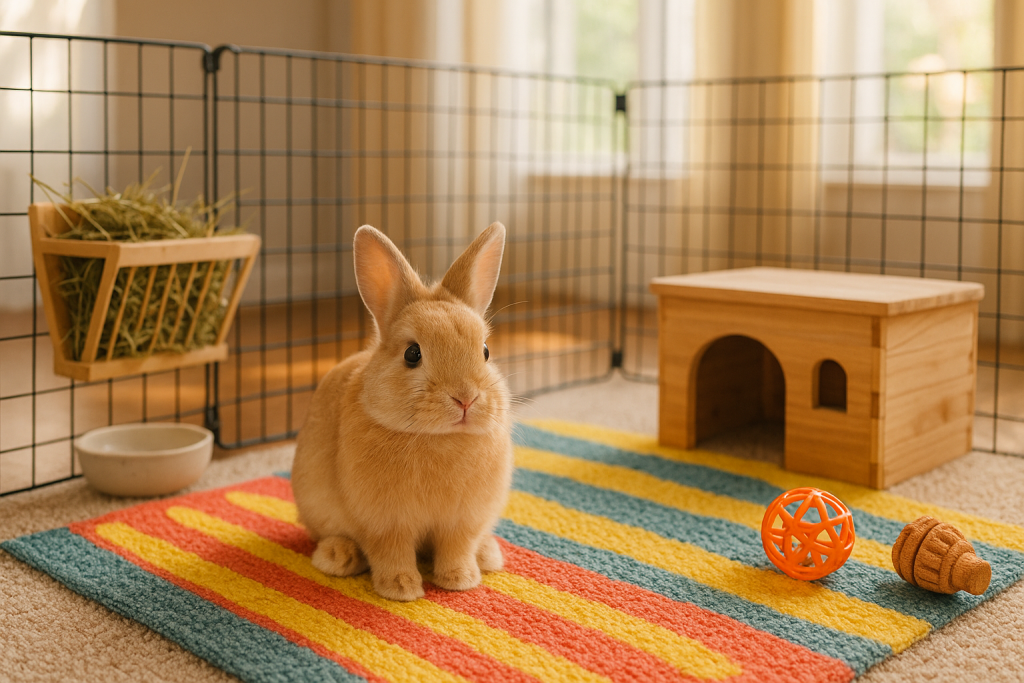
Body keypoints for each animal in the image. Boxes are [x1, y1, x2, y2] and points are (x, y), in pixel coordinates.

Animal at [291, 222, 513, 602]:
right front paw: (401, 589)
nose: (465, 399)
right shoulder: (385, 523)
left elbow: (456, 548)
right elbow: (391, 553)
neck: (439, 438)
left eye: (485, 351)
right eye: (412, 354)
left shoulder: (462, 522)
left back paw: (488, 555)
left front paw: (461, 579)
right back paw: (338, 557)